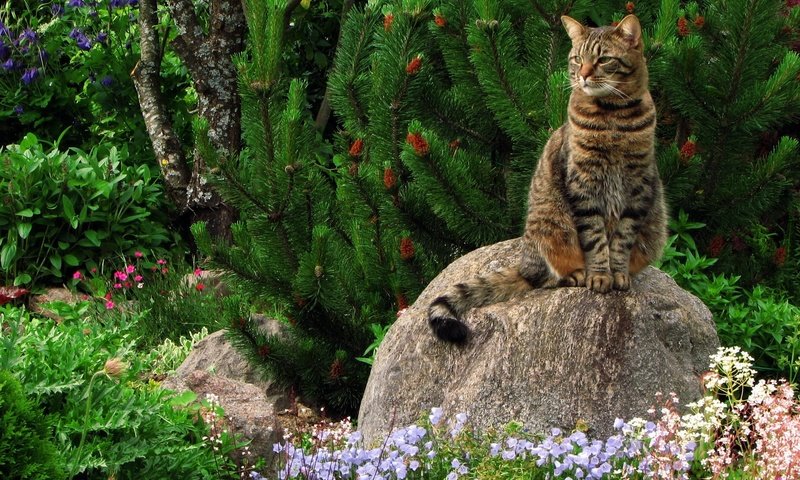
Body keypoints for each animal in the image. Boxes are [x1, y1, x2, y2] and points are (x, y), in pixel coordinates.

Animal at [428, 15, 664, 344]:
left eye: (603, 60)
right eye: (577, 59)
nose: (583, 76)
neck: (613, 117)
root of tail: (524, 265)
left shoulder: (639, 186)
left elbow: (621, 239)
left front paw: (617, 273)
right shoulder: (582, 185)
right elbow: (595, 238)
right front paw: (599, 275)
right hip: (551, 227)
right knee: (545, 277)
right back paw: (575, 274)